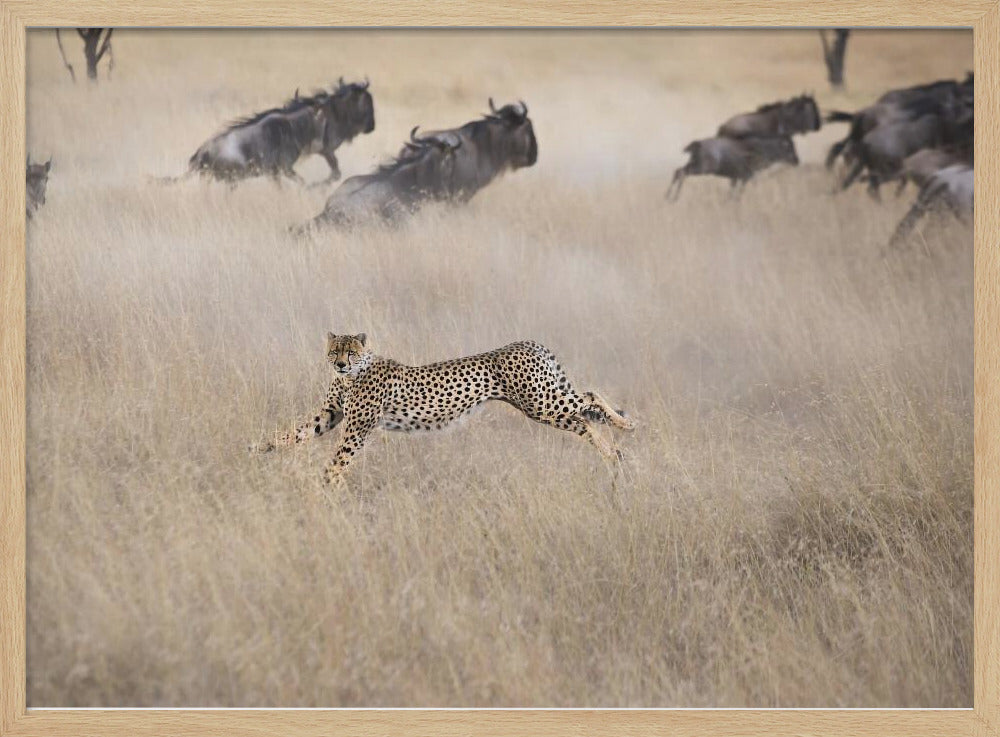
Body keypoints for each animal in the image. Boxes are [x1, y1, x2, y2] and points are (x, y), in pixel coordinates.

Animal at [251, 332, 635, 483]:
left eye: (351, 352)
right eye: (334, 352)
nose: (341, 365)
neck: (350, 377)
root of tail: (526, 342)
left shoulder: (357, 427)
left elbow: (339, 459)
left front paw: (327, 486)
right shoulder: (331, 414)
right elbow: (297, 432)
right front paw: (261, 447)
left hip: (542, 402)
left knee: (590, 397)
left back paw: (626, 426)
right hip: (545, 407)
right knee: (585, 421)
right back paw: (613, 454)